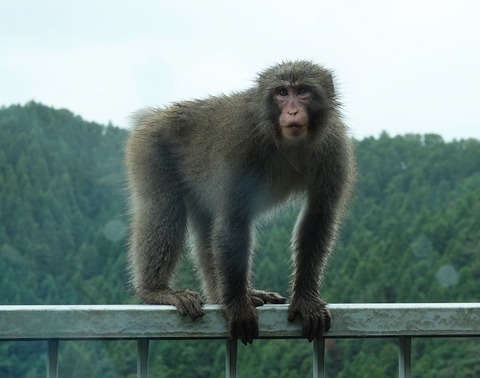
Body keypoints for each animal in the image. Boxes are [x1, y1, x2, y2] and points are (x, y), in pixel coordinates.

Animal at [124, 59, 356, 346]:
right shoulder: (240, 146)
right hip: (149, 149)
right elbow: (234, 220)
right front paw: (238, 306)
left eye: (302, 91)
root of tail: (154, 116)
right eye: (282, 93)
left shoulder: (335, 149)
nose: (292, 111)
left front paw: (305, 300)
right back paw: (156, 291)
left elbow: (318, 218)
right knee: (164, 210)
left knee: (205, 228)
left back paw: (217, 295)